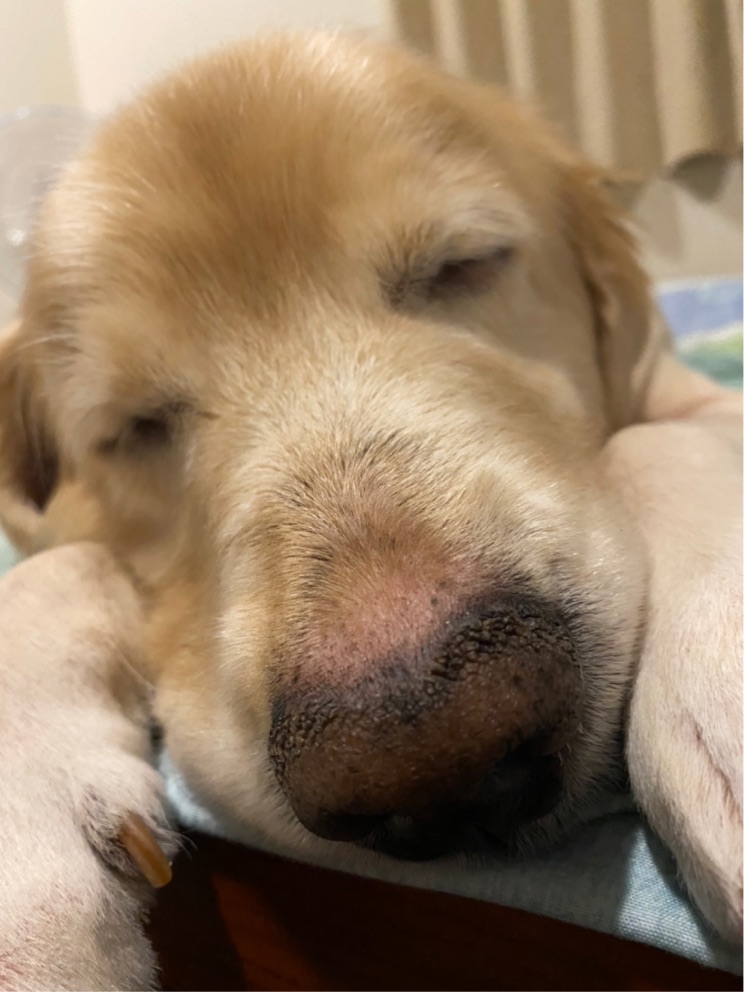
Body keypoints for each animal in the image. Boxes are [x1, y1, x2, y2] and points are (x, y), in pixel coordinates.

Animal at [0, 30, 740, 981]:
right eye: (132, 425)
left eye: (465, 263)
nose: (434, 753)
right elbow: (60, 557)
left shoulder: (690, 399)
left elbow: (655, 441)